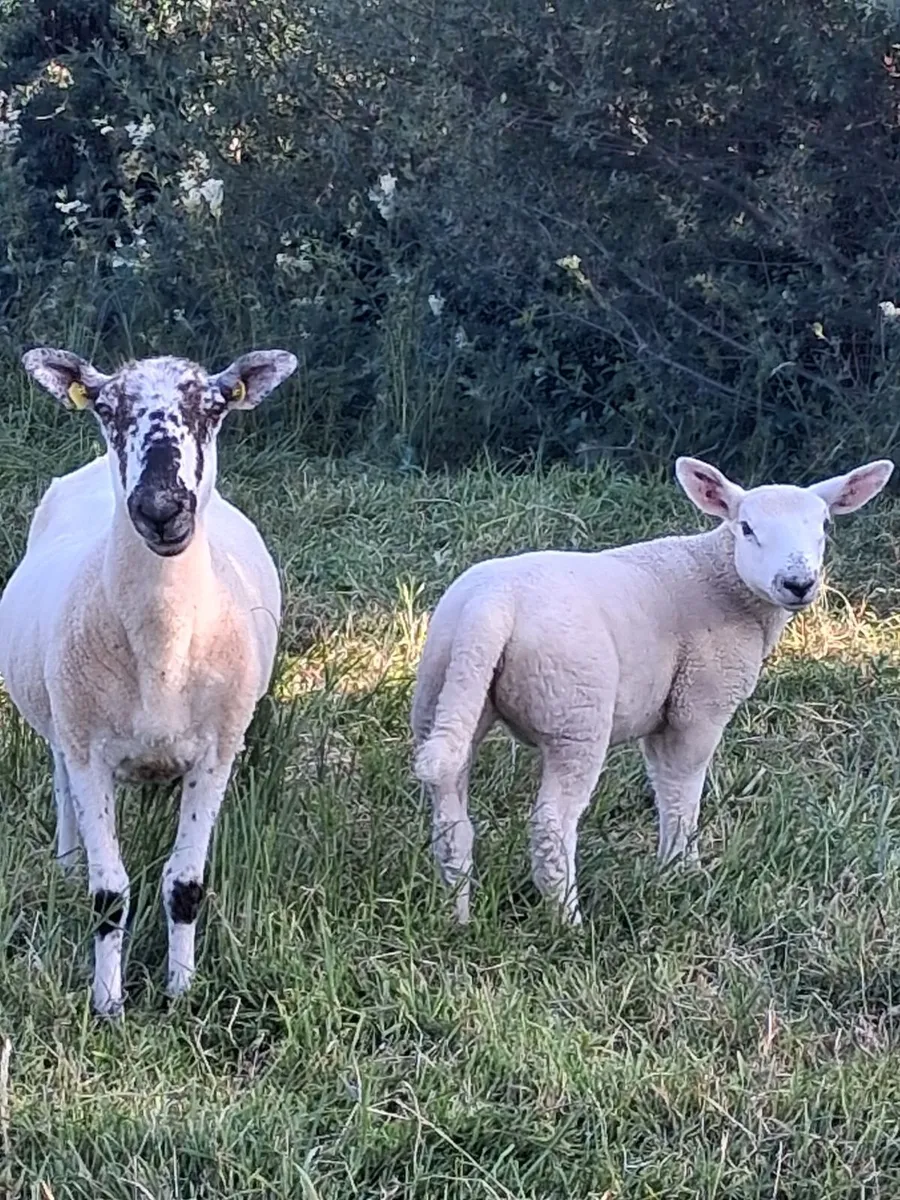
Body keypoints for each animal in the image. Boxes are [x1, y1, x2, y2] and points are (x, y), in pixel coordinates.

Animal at [0, 346, 297, 1017]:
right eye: (107, 409)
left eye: (213, 408)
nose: (161, 509)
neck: (160, 657)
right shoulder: (88, 750)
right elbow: (108, 893)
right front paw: (108, 1006)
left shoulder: (216, 753)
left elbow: (185, 884)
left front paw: (180, 994)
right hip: (61, 720)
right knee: (60, 781)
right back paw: (66, 859)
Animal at [411, 456, 894, 925]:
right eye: (746, 528)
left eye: (825, 526)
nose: (798, 584)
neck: (721, 578)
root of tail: (491, 606)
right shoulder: (698, 704)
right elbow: (681, 792)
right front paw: (683, 873)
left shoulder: (663, 710)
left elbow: (663, 785)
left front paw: (669, 871)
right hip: (575, 711)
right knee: (552, 823)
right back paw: (568, 923)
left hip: (445, 693)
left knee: (450, 815)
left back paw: (458, 915)